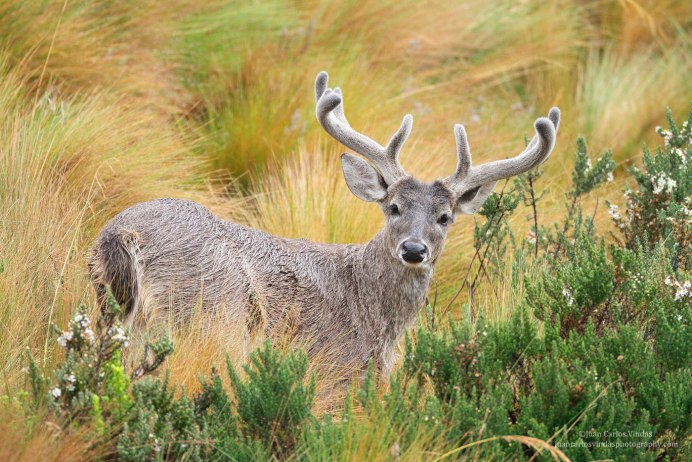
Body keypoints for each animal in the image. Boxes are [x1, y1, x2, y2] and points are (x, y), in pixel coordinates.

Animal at [88, 71, 564, 376]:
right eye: (393, 207)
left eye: (444, 217)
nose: (413, 249)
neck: (377, 321)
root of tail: (123, 234)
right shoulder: (338, 369)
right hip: (205, 317)